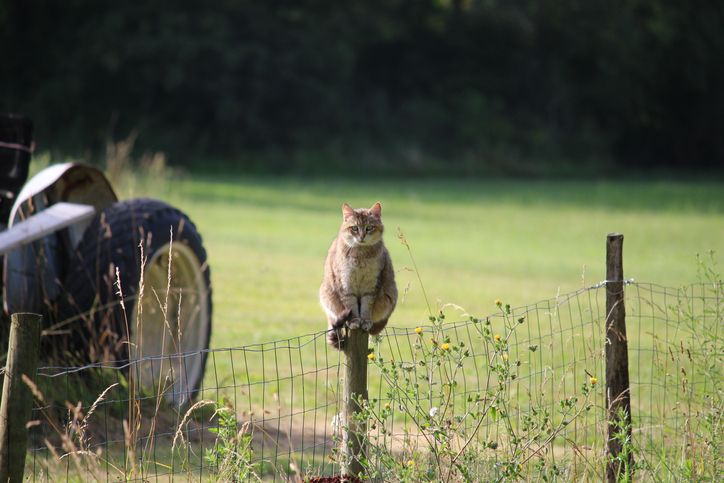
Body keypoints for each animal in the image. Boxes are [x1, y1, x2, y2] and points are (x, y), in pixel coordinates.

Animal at [320, 202, 398, 350]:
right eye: (354, 228)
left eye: (369, 228)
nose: (361, 237)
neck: (361, 255)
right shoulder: (345, 284)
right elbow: (351, 305)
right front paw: (355, 321)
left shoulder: (372, 285)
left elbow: (367, 306)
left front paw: (365, 321)